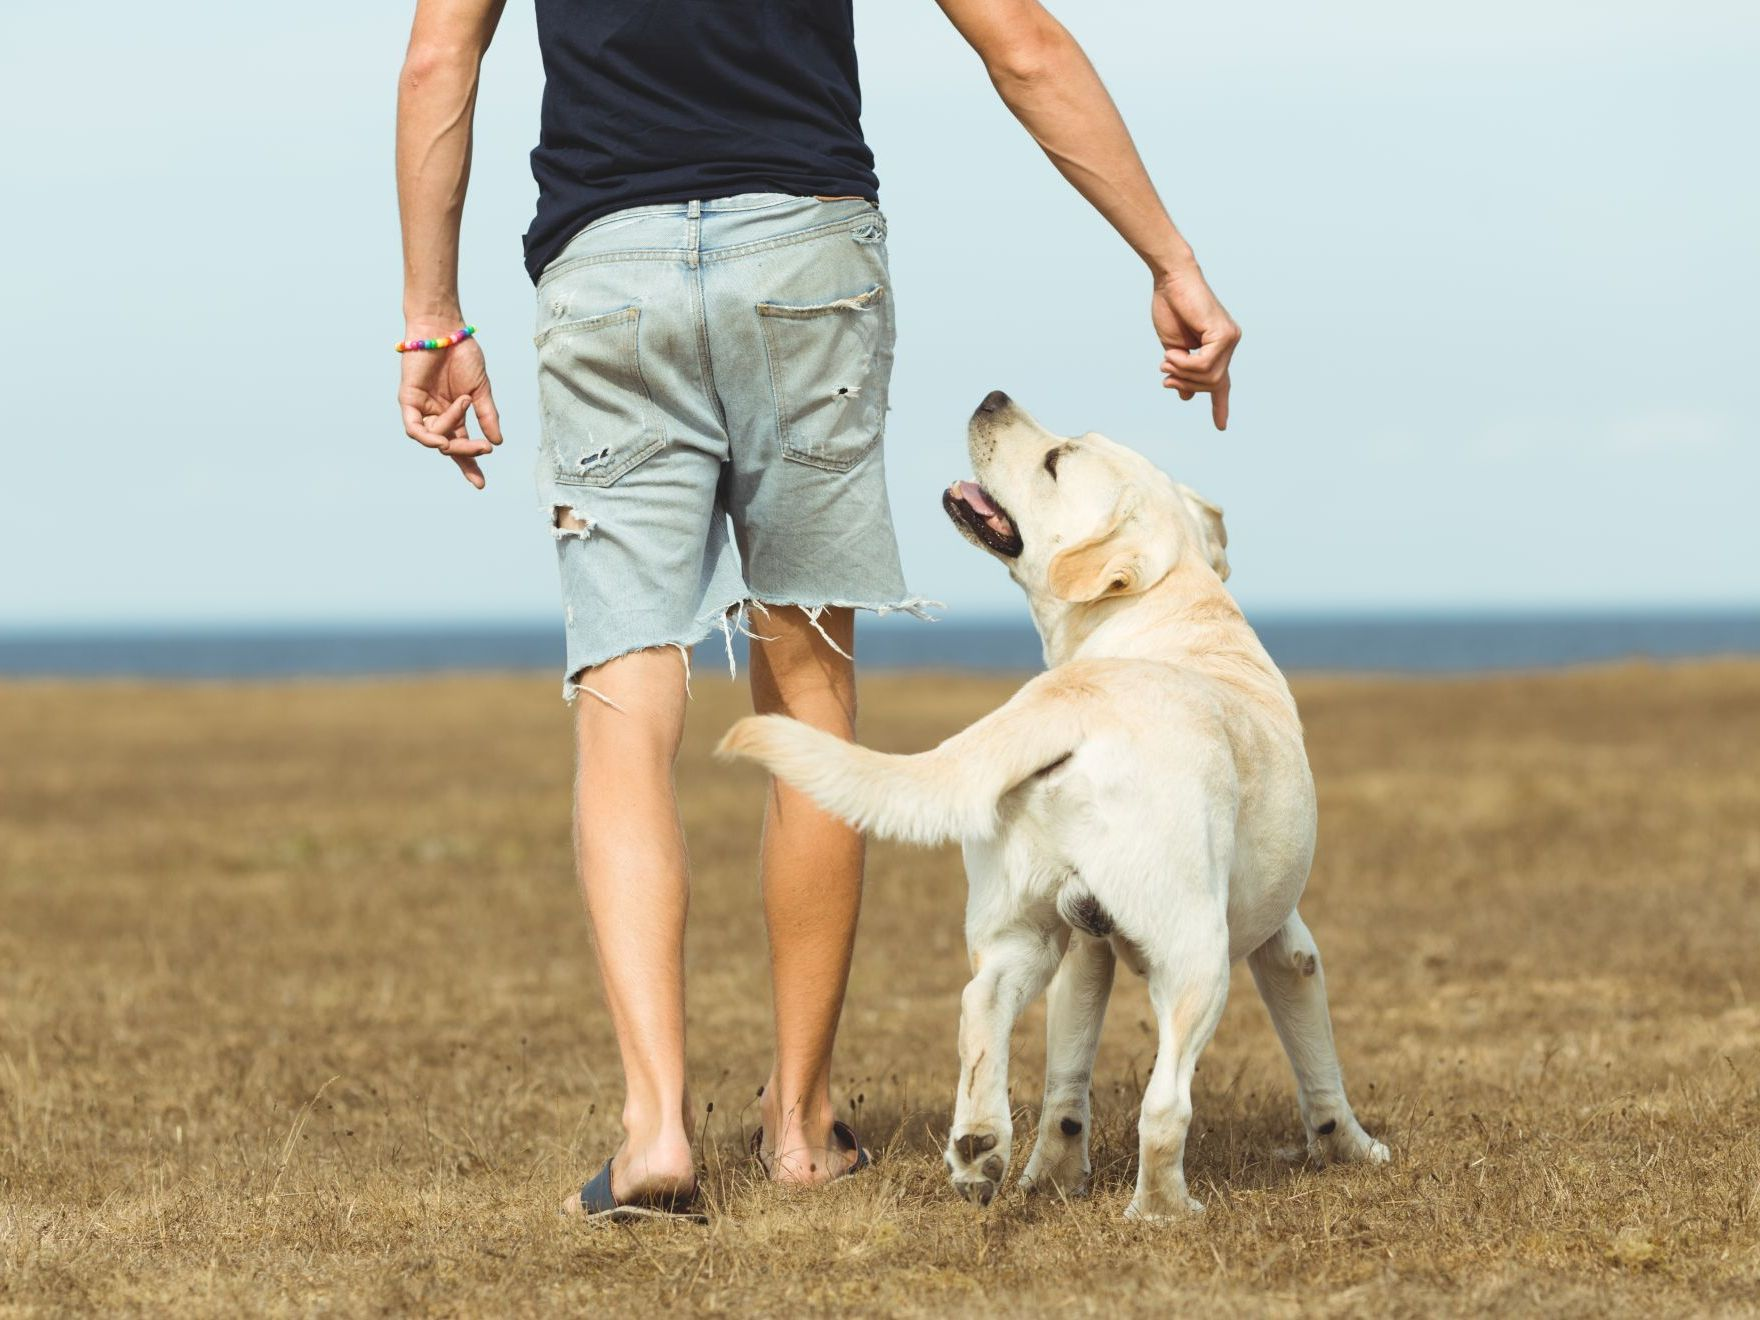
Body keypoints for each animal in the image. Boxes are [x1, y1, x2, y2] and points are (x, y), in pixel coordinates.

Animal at [718, 397, 1386, 1224]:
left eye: (1056, 461)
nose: (992, 398)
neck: (1168, 604)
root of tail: (1073, 701)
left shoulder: (1087, 947)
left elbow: (1067, 1073)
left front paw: (1053, 1172)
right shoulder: (1283, 941)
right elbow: (1317, 1058)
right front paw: (1353, 1147)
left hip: (1025, 927)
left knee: (983, 1005)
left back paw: (984, 1147)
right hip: (1195, 957)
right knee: (1165, 1105)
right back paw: (1164, 1210)